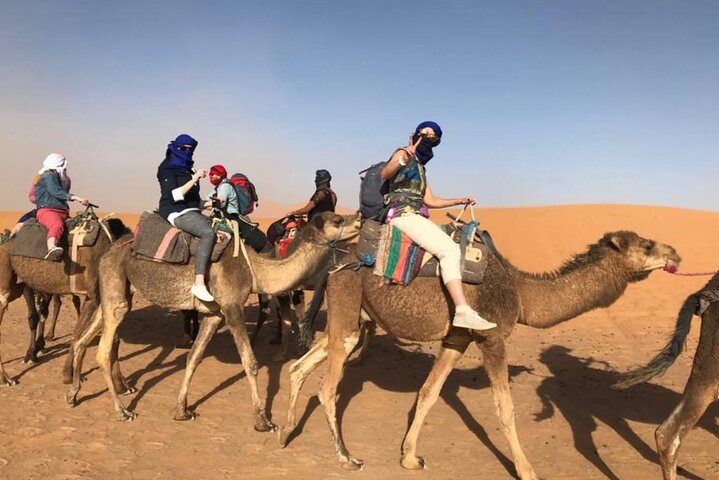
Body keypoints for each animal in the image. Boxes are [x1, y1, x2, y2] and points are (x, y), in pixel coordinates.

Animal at [0, 218, 130, 386]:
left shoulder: (94, 296)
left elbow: (81, 333)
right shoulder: (96, 294)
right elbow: (105, 338)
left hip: (18, 285)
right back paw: (7, 377)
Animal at [66, 212, 361, 430]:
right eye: (337, 220)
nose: (358, 218)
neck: (256, 270)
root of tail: (108, 251)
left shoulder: (213, 314)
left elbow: (194, 357)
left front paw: (182, 410)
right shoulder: (232, 307)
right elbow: (250, 362)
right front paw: (263, 421)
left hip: (118, 291)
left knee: (84, 338)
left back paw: (73, 393)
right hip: (115, 284)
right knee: (103, 350)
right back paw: (122, 411)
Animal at [278, 230, 681, 478]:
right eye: (646, 245)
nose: (675, 251)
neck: (521, 292)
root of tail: (334, 259)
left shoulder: (458, 338)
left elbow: (429, 393)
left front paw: (409, 457)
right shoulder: (493, 338)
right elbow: (505, 409)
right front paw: (527, 470)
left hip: (352, 315)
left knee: (299, 366)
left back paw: (284, 433)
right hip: (348, 301)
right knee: (327, 386)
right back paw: (346, 458)